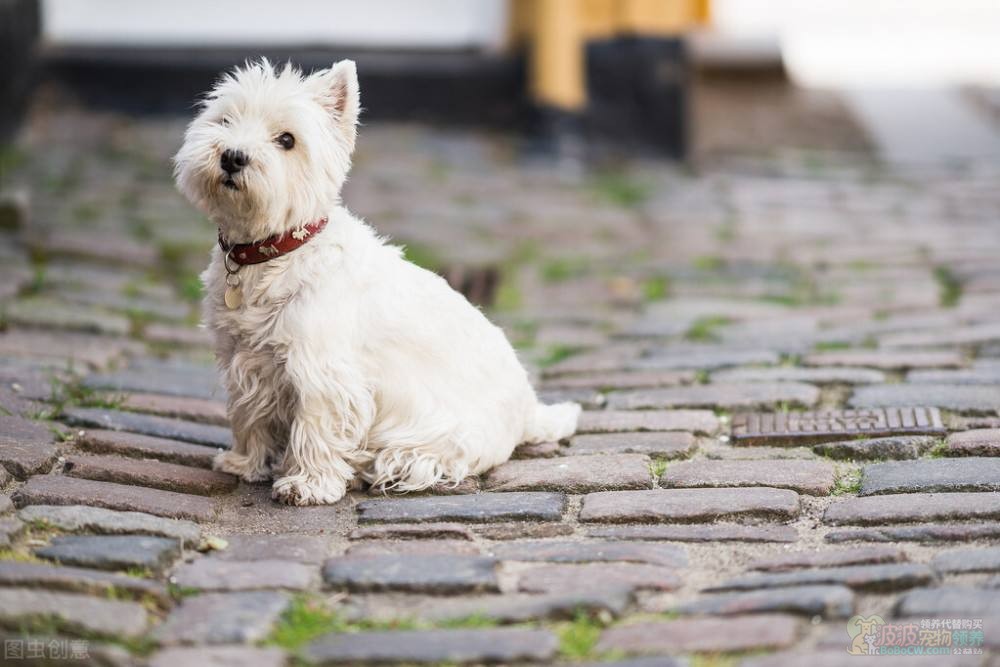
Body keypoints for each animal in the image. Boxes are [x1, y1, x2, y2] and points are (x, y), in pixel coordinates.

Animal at [172, 60, 580, 506]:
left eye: (287, 140)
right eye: (225, 120)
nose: (232, 157)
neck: (273, 252)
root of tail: (528, 410)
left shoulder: (323, 370)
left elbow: (316, 428)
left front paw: (308, 484)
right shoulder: (243, 359)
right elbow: (249, 416)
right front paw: (244, 464)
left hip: (440, 435)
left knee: (421, 459)